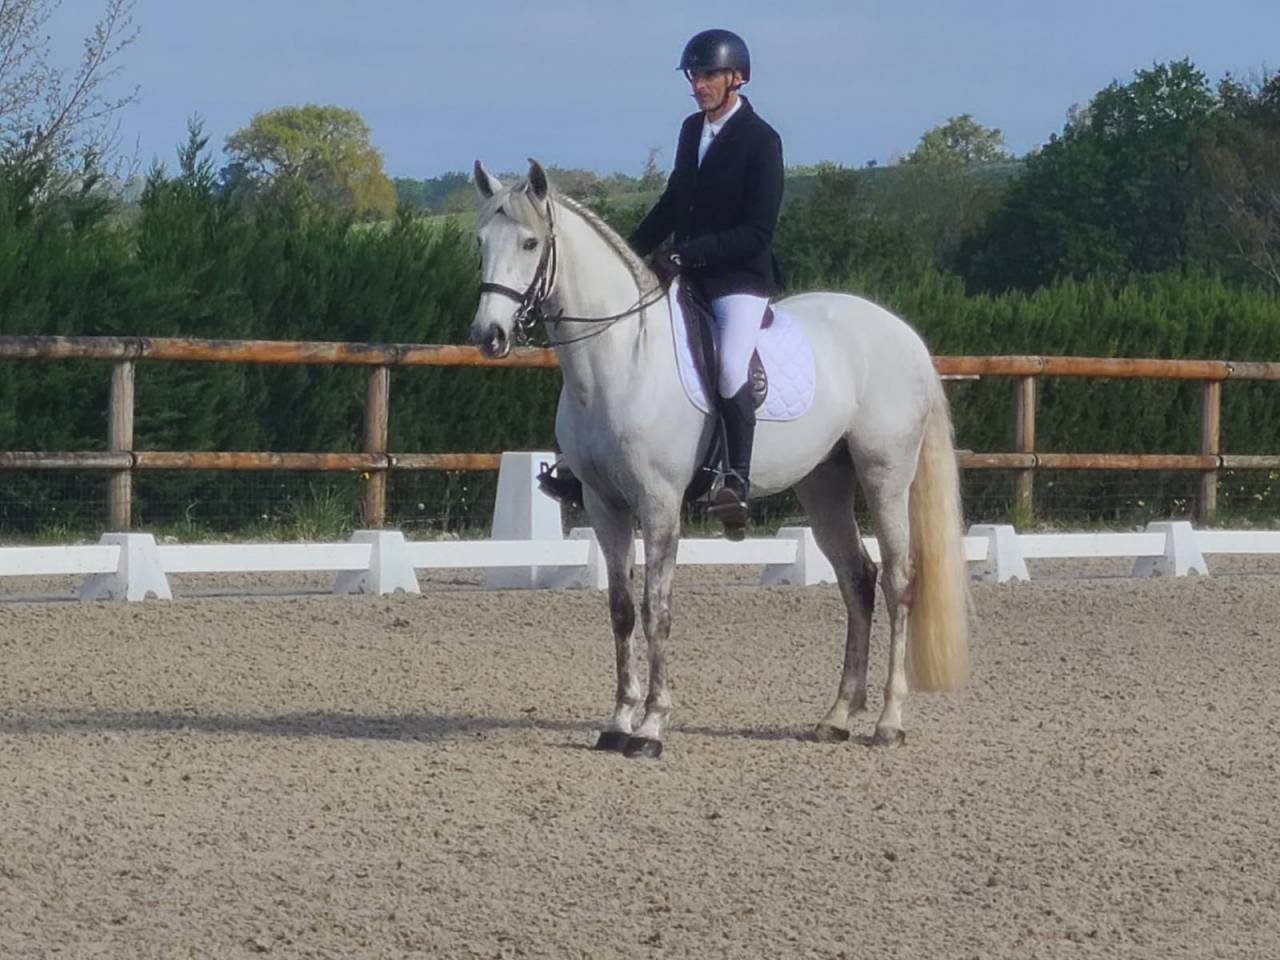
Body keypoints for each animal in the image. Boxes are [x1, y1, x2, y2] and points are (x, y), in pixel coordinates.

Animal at [470, 159, 969, 759]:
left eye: (529, 242)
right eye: (479, 242)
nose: (489, 335)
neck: (620, 358)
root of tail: (904, 335)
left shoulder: (659, 504)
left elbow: (657, 609)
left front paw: (652, 727)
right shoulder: (603, 503)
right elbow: (622, 609)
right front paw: (617, 722)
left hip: (885, 474)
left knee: (897, 580)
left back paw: (890, 722)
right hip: (824, 485)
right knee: (857, 579)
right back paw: (837, 715)